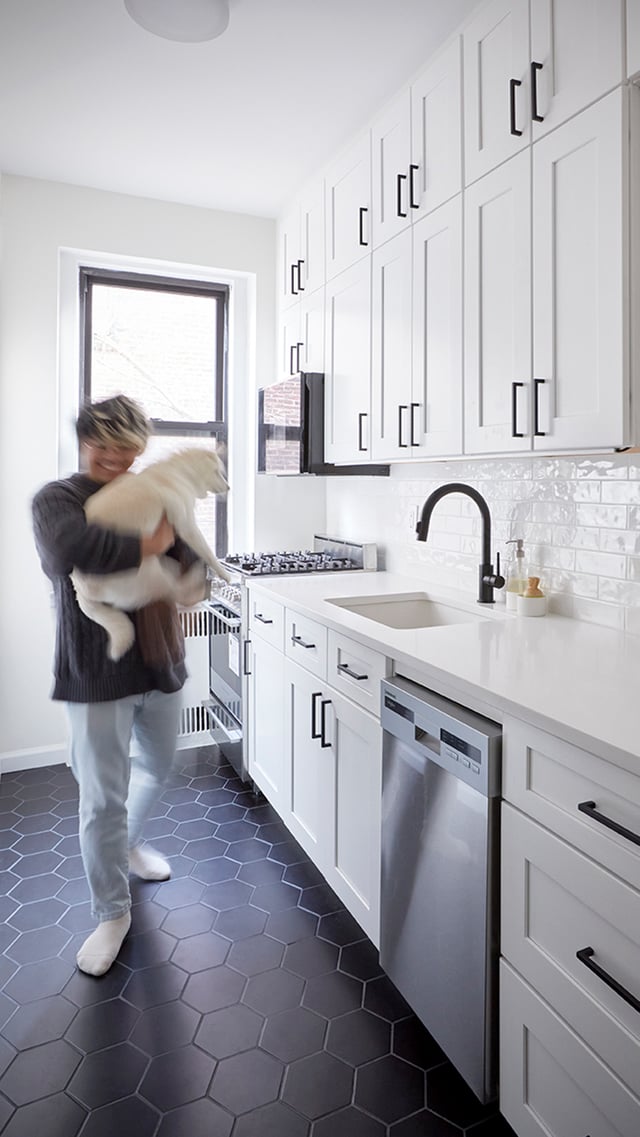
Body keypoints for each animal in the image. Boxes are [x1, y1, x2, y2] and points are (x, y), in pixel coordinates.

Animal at [71, 443, 231, 659]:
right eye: (218, 472)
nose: (229, 487)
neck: (180, 473)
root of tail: (80, 590)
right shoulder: (187, 525)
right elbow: (207, 551)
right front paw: (224, 573)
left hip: (163, 565)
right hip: (150, 571)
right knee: (177, 592)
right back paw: (199, 576)